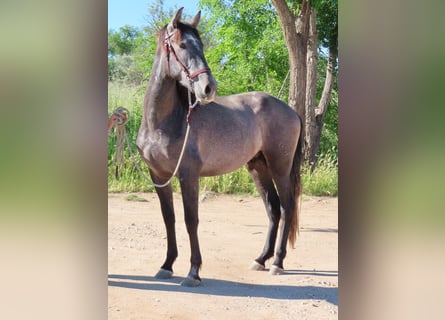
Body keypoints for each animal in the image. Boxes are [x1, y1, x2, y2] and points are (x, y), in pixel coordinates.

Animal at [135, 7, 302, 288]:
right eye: (182, 45)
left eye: (201, 45)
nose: (208, 88)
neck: (164, 122)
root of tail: (291, 111)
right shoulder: (158, 176)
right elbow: (169, 218)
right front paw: (167, 265)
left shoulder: (188, 176)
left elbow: (191, 220)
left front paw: (193, 272)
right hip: (258, 167)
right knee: (273, 208)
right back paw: (261, 259)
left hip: (280, 167)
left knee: (287, 206)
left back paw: (277, 263)